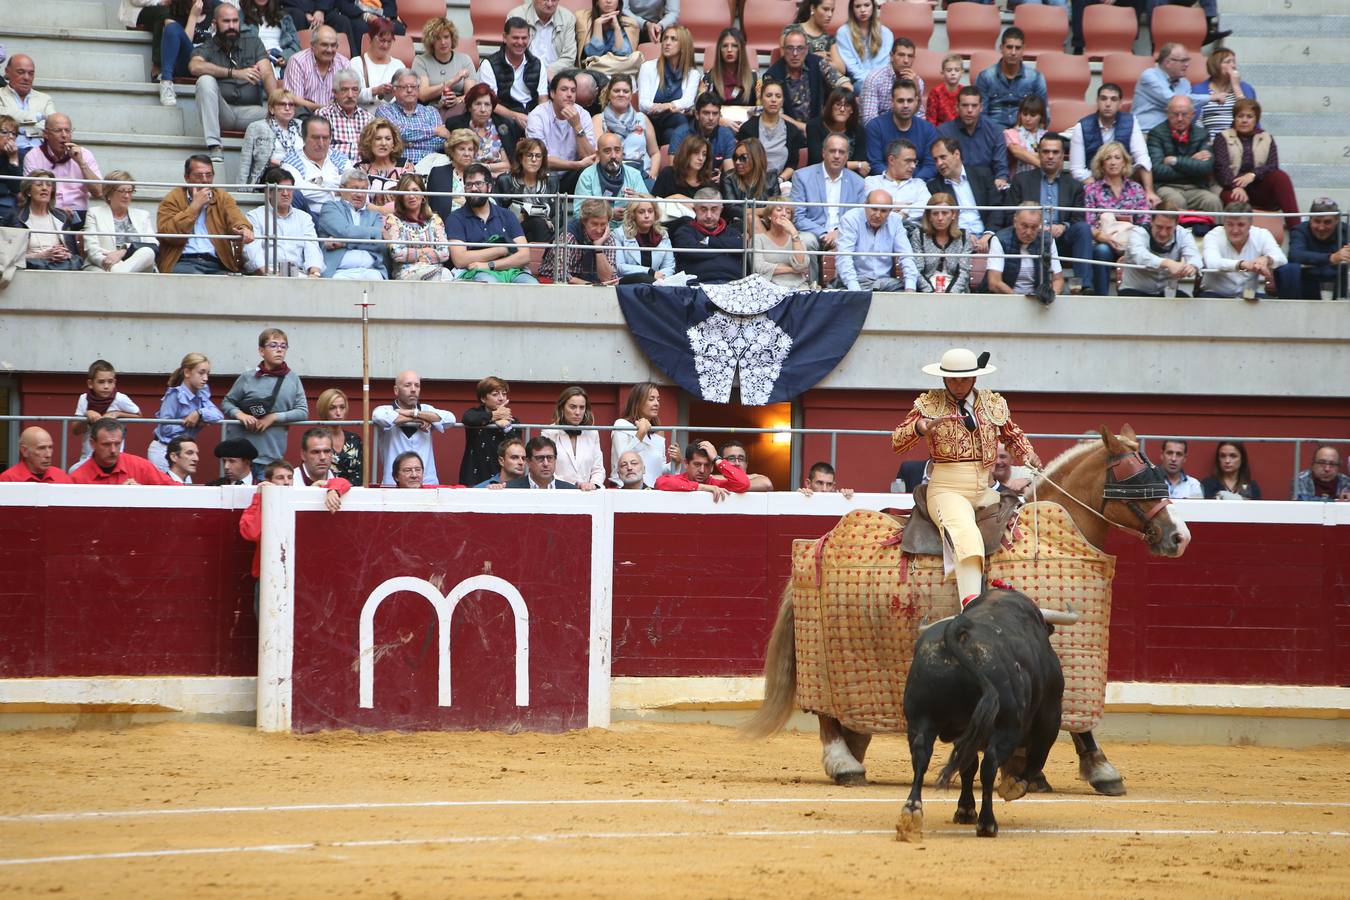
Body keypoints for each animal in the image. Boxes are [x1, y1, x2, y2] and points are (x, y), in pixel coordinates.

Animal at [750, 429, 1193, 793]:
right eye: (1138, 480)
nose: (1180, 536)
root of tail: (820, 540)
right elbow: (1078, 721)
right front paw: (1100, 769)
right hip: (828, 653)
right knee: (823, 708)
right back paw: (844, 764)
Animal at [896, 588, 1063, 841]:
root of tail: (959, 632)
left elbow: (967, 766)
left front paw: (965, 810)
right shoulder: (1050, 716)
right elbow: (1036, 759)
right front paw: (1014, 786)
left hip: (920, 720)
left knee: (921, 757)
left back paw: (911, 812)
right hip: (1007, 726)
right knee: (991, 764)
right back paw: (987, 823)